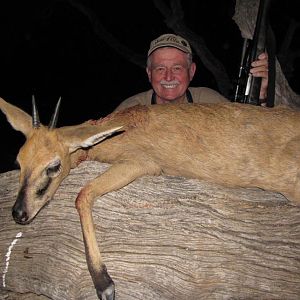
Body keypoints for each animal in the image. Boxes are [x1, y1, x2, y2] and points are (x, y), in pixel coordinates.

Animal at [0, 96, 300, 300]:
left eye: (54, 166)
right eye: (18, 160)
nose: (19, 213)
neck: (124, 127)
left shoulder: (141, 164)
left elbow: (83, 194)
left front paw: (105, 285)